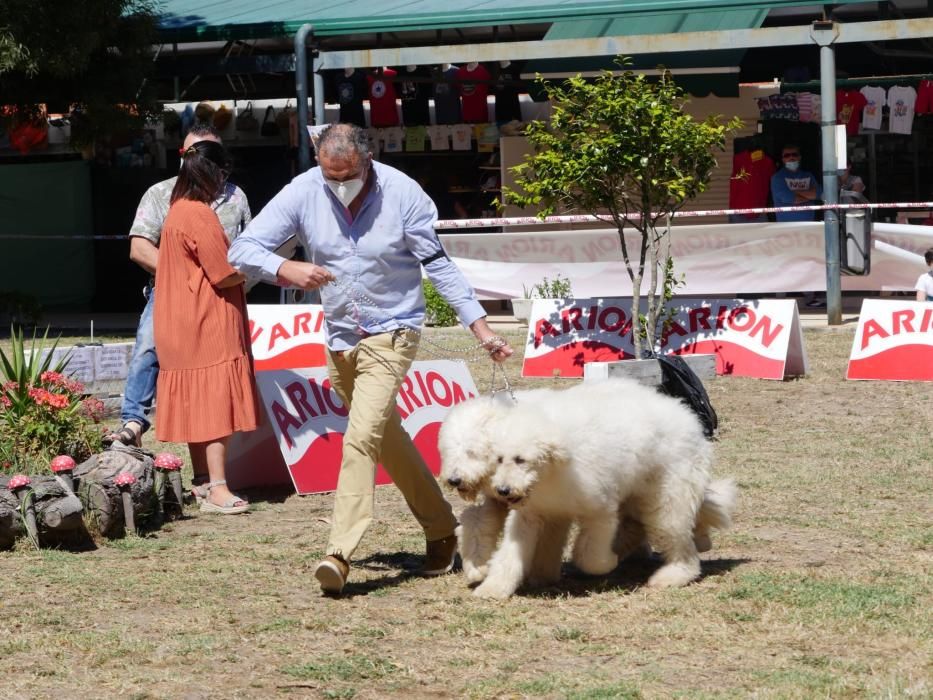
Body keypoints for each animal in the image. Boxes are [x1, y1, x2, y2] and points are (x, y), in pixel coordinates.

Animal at [466, 380, 728, 600]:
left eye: (520, 459)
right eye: (499, 459)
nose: (503, 490)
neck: (553, 470)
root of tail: (688, 417)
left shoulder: (600, 510)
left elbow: (589, 555)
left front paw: (607, 562)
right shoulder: (531, 514)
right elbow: (510, 553)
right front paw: (493, 589)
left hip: (668, 497)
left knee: (680, 542)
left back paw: (673, 575)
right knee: (636, 527)